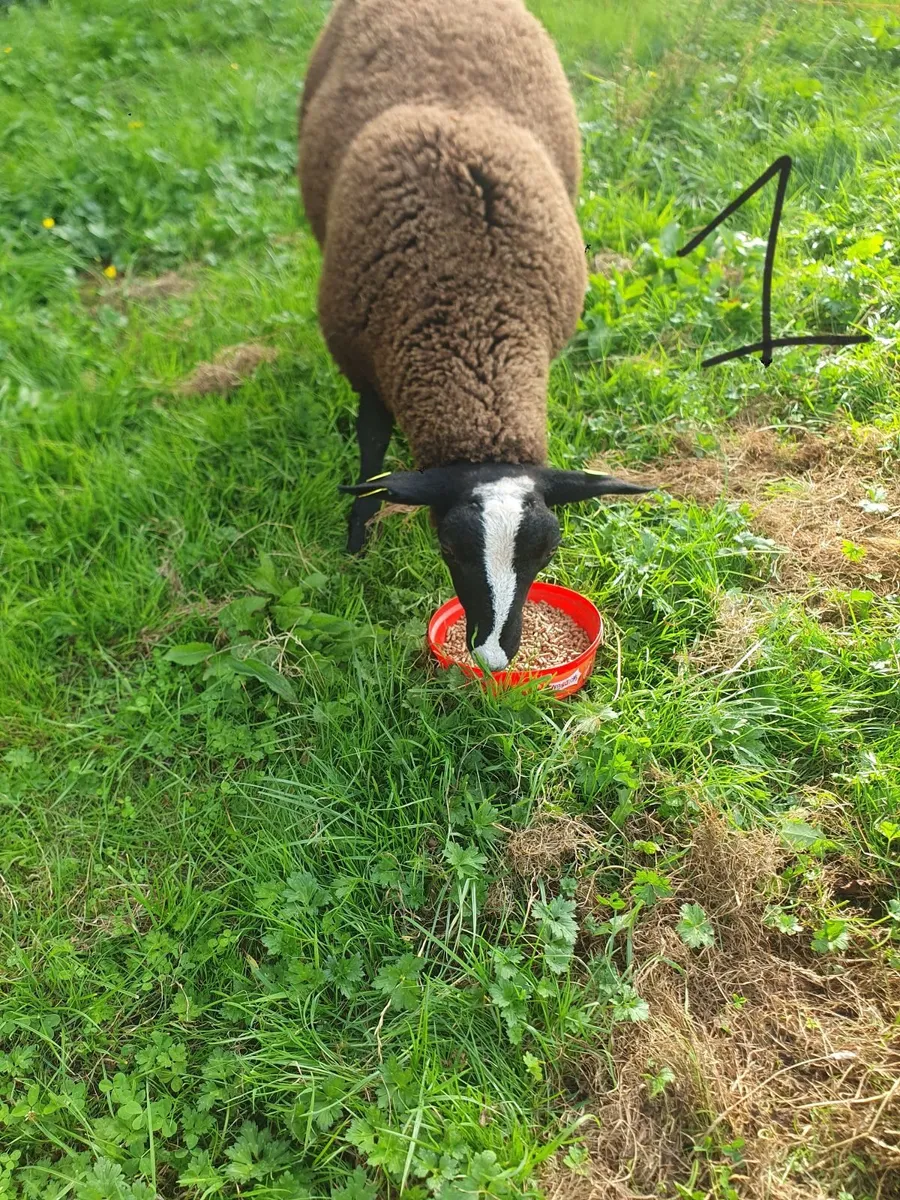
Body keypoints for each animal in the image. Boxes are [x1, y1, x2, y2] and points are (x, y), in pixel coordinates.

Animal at [298, 0, 649, 671]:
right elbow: (371, 450)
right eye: (449, 549)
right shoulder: (366, 366)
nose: (491, 654)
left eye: (547, 553)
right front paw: (357, 537)